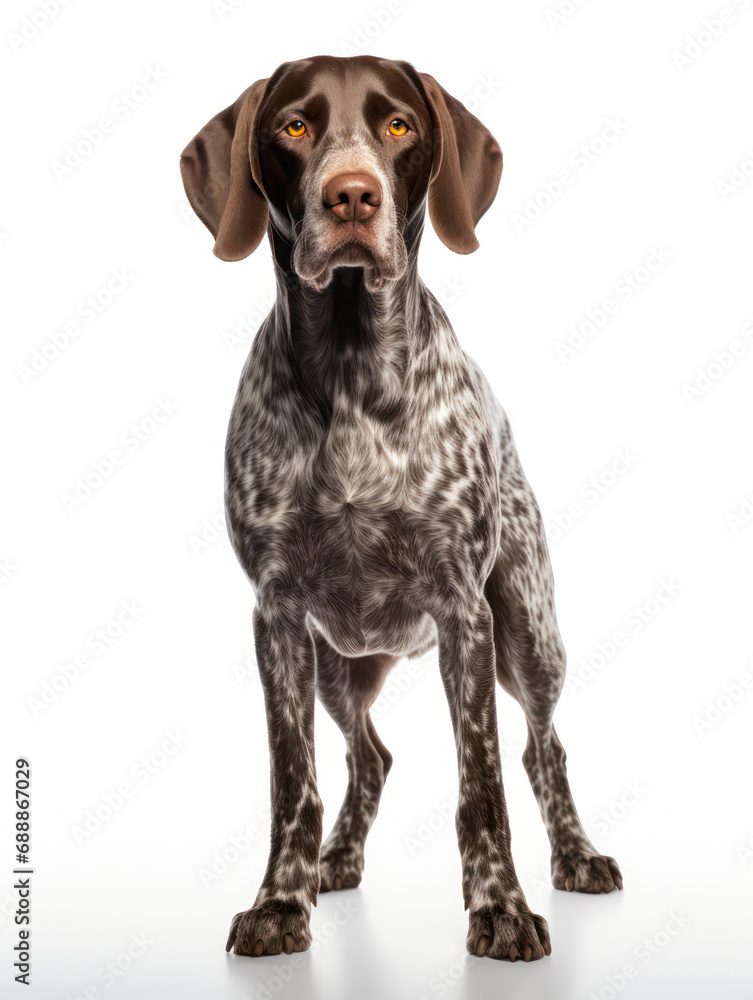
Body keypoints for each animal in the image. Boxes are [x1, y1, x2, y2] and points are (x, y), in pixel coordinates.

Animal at [179, 52, 620, 960]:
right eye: (294, 125)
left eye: (397, 125)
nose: (351, 196)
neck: (351, 377)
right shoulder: (276, 618)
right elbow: (293, 781)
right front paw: (281, 902)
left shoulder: (463, 615)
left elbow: (482, 784)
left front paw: (500, 909)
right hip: (337, 666)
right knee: (370, 756)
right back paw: (335, 861)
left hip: (527, 635)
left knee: (543, 751)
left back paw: (576, 857)